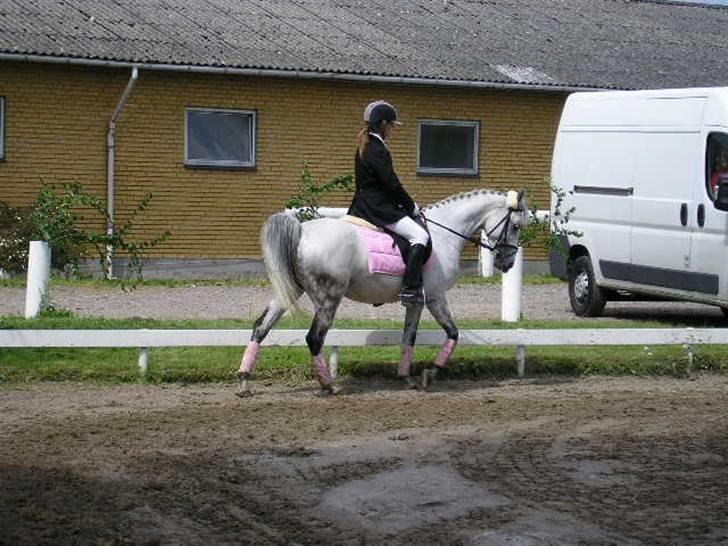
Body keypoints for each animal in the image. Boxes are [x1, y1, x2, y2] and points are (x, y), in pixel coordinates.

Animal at [239, 189, 528, 394]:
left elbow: (409, 337)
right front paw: (431, 373)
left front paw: (407, 377)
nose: (508, 264)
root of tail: (301, 230)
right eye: (515, 226)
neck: (444, 233)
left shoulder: (417, 302)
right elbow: (453, 333)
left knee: (260, 328)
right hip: (329, 297)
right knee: (314, 338)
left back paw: (244, 382)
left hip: (289, 292)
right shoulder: (435, 298)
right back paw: (328, 385)